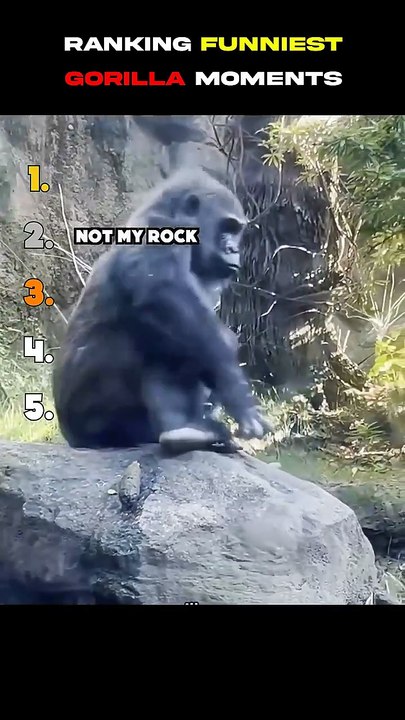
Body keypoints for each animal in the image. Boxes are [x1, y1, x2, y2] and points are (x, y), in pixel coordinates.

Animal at [53, 168, 272, 454]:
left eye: (236, 231)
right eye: (227, 227)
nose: (234, 249)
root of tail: (72, 439)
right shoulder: (161, 230)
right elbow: (162, 297)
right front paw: (235, 387)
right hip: (94, 425)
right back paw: (182, 431)